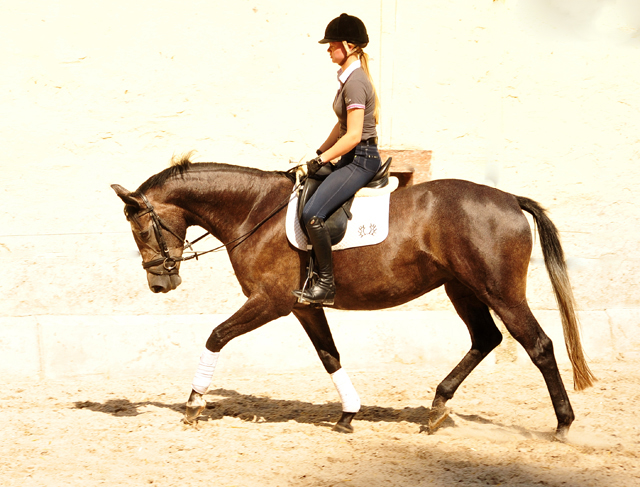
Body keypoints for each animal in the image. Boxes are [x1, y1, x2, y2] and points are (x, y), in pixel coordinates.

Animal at [111, 154, 596, 440]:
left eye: (141, 230)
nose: (160, 285)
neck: (254, 212)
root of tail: (509, 200)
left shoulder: (270, 302)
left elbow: (215, 336)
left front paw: (194, 403)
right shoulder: (303, 306)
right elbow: (330, 356)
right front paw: (348, 414)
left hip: (499, 290)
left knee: (537, 345)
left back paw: (563, 424)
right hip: (462, 288)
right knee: (485, 339)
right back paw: (437, 406)